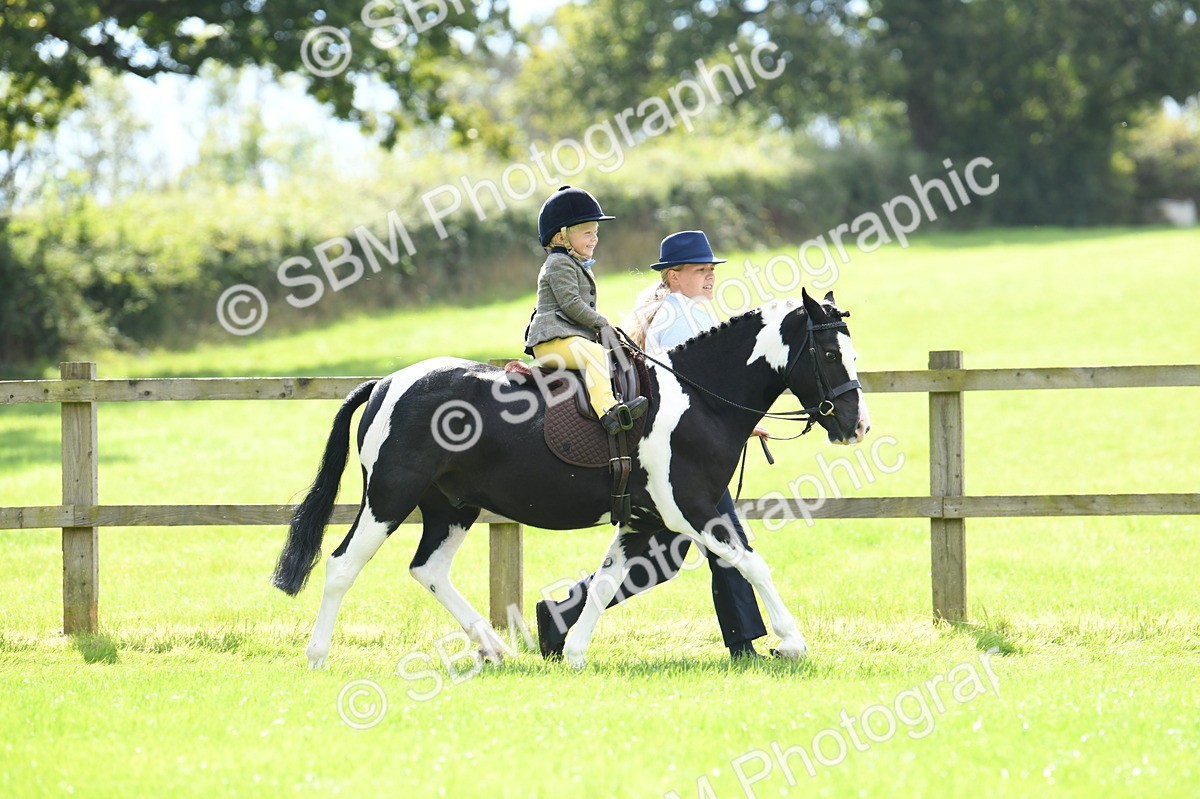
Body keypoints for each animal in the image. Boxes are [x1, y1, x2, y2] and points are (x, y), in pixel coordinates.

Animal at [272, 288, 870, 669]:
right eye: (828, 352)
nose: (857, 425)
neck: (697, 399)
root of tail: (386, 383)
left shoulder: (647, 522)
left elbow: (605, 581)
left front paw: (575, 651)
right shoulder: (693, 509)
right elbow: (750, 562)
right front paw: (791, 643)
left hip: (451, 507)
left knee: (429, 569)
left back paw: (495, 649)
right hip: (389, 499)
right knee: (342, 566)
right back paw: (317, 656)